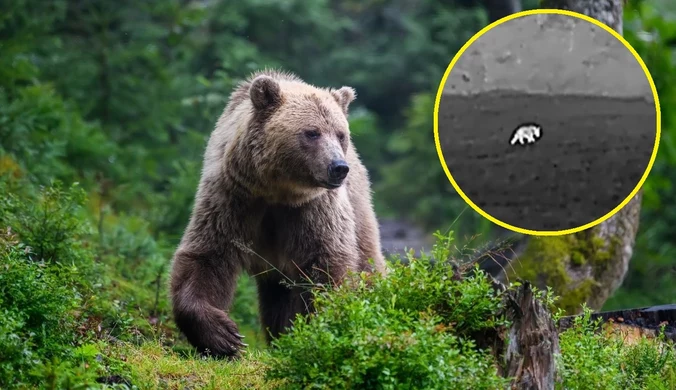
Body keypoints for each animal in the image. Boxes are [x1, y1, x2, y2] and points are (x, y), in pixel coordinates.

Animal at [169, 69, 386, 356]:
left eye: (341, 134)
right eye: (312, 132)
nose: (338, 167)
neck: (277, 191)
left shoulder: (314, 209)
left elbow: (327, 262)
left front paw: (318, 328)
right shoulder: (233, 197)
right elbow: (208, 254)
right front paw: (224, 335)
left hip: (359, 211)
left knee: (368, 263)